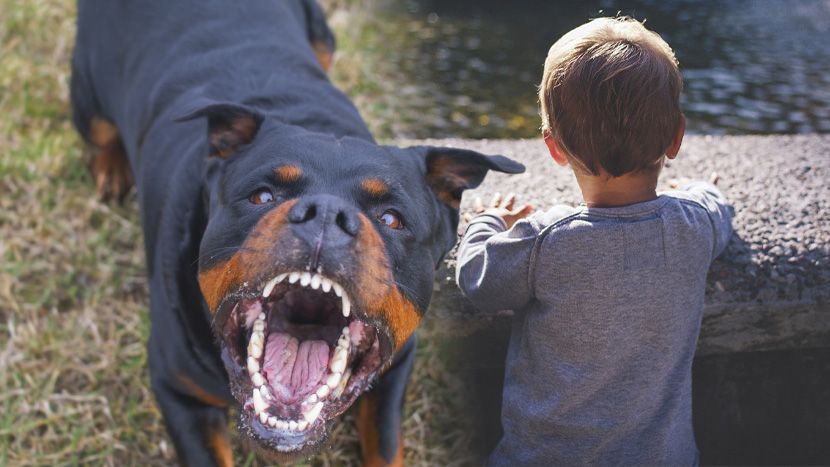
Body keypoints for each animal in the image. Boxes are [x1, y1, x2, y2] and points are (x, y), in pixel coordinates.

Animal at [73, 0, 528, 466]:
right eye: (262, 195)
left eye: (391, 219)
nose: (325, 213)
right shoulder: (177, 388)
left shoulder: (396, 369)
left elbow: (385, 447)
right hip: (88, 99)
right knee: (100, 131)